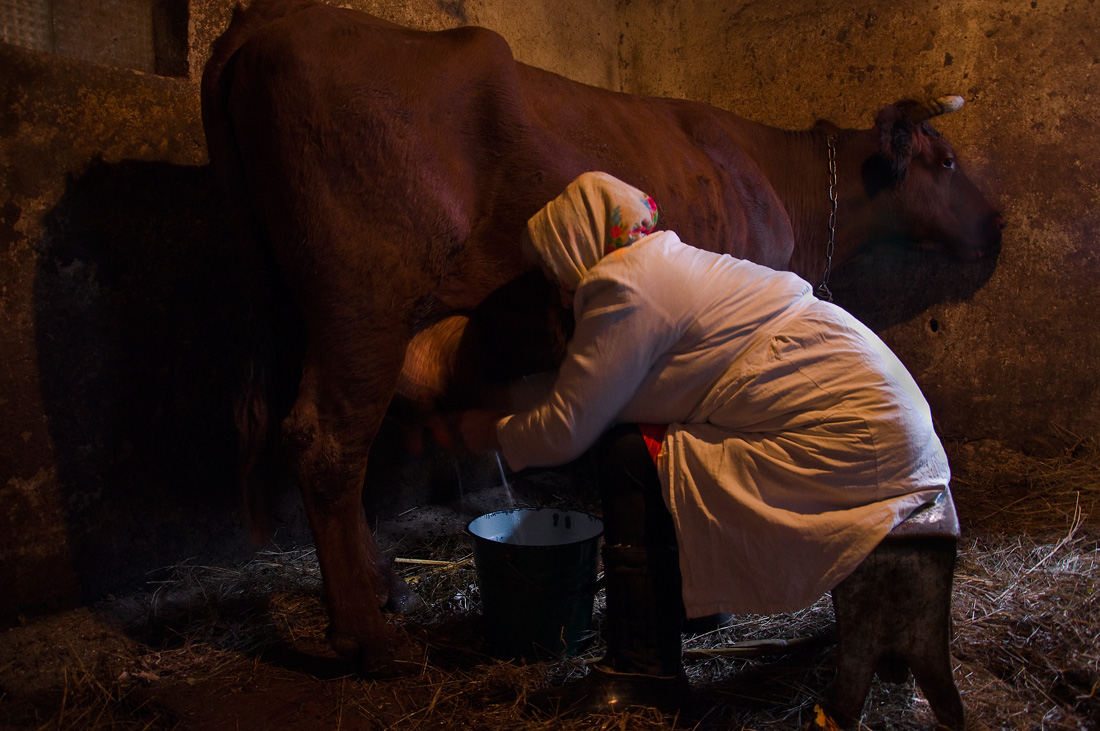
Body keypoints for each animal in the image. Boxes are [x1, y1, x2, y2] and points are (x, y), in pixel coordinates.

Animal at [200, 0, 1007, 668]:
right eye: (947, 161)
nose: (999, 224)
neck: (783, 184)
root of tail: (274, 17)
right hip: (363, 304)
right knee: (327, 442)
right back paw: (368, 636)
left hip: (298, 306)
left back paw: (378, 586)